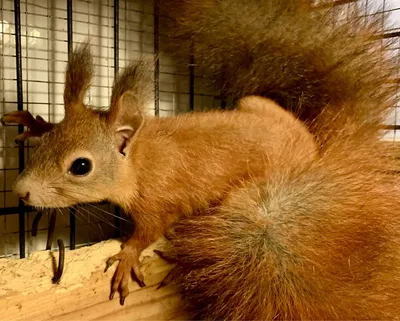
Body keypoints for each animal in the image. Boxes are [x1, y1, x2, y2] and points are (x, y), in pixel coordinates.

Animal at [0, 0, 400, 318]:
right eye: (47, 143)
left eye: (81, 166)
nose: (22, 191)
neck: (140, 160)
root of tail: (314, 147)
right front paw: (35, 122)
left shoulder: (159, 200)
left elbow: (148, 231)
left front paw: (127, 257)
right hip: (252, 105)